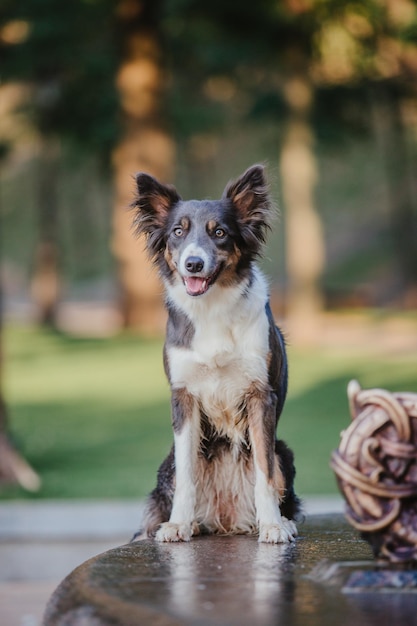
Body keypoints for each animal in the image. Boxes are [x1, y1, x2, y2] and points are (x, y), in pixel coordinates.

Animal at [132, 163, 298, 540]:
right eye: (178, 232)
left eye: (220, 232)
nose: (193, 263)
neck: (212, 308)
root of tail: (226, 519)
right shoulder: (183, 397)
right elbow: (186, 477)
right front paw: (178, 523)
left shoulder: (260, 396)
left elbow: (265, 474)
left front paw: (272, 525)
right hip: (168, 461)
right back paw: (190, 522)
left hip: (284, 451)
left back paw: (280, 520)